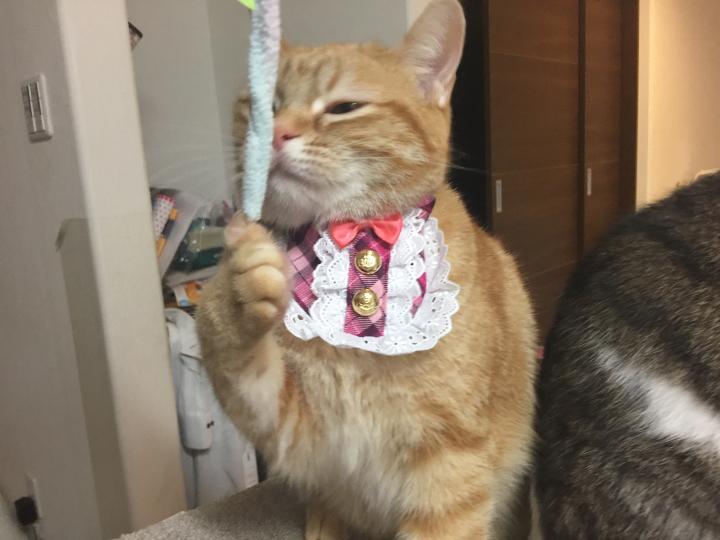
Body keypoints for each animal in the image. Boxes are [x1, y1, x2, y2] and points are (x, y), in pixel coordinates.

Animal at [196, 1, 537, 538]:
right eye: (265, 106)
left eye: (344, 108)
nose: (276, 134)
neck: (356, 242)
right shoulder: (299, 429)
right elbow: (234, 356)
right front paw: (238, 282)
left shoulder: (449, 464)